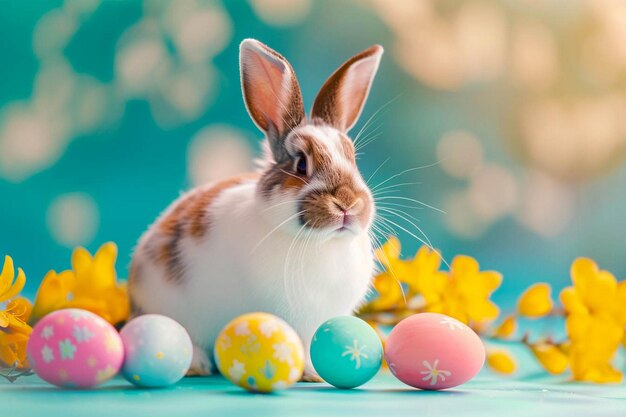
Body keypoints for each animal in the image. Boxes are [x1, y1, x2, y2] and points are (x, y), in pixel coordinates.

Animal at [128, 39, 380, 380]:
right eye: (301, 165)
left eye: (353, 159)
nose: (348, 203)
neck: (321, 242)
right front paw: (306, 372)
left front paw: (315, 372)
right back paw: (196, 364)